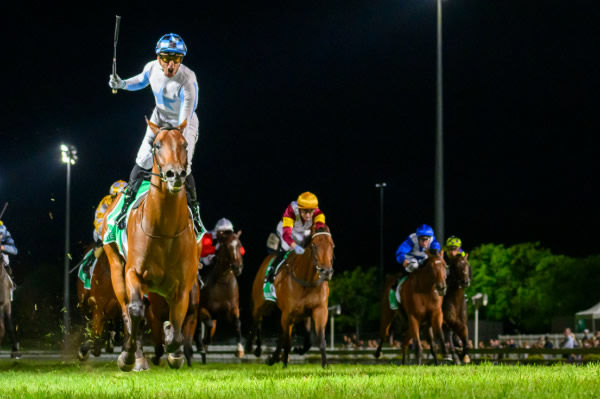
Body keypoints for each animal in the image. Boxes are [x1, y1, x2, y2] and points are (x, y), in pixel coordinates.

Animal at [246, 225, 336, 368]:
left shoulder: (319, 310)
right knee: (257, 320)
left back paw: (273, 357)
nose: (326, 272)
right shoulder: (287, 313)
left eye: (332, 245)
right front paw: (284, 365)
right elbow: (287, 341)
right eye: (314, 245)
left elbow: (319, 339)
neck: (306, 281)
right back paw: (253, 347)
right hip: (261, 303)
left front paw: (325, 365)